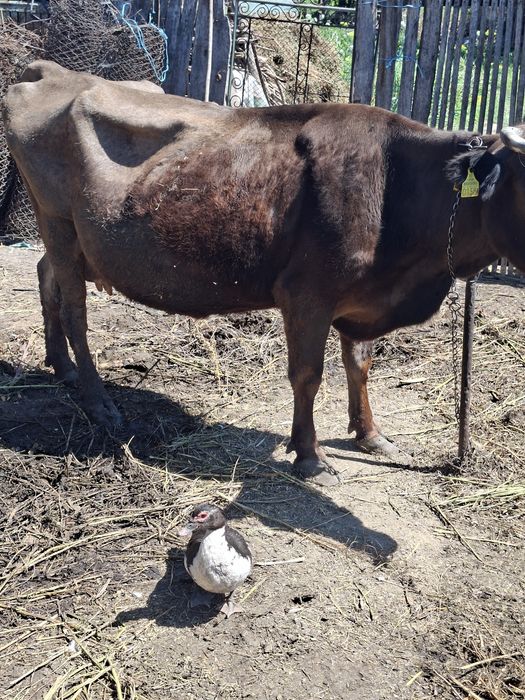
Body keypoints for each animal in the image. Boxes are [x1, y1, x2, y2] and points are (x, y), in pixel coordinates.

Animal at [3, 60, 524, 486]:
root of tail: (52, 72)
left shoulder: (358, 295)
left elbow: (359, 364)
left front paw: (370, 434)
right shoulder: (307, 293)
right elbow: (308, 375)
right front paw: (310, 456)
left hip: (67, 239)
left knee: (46, 278)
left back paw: (63, 367)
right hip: (58, 222)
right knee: (74, 311)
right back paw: (98, 401)